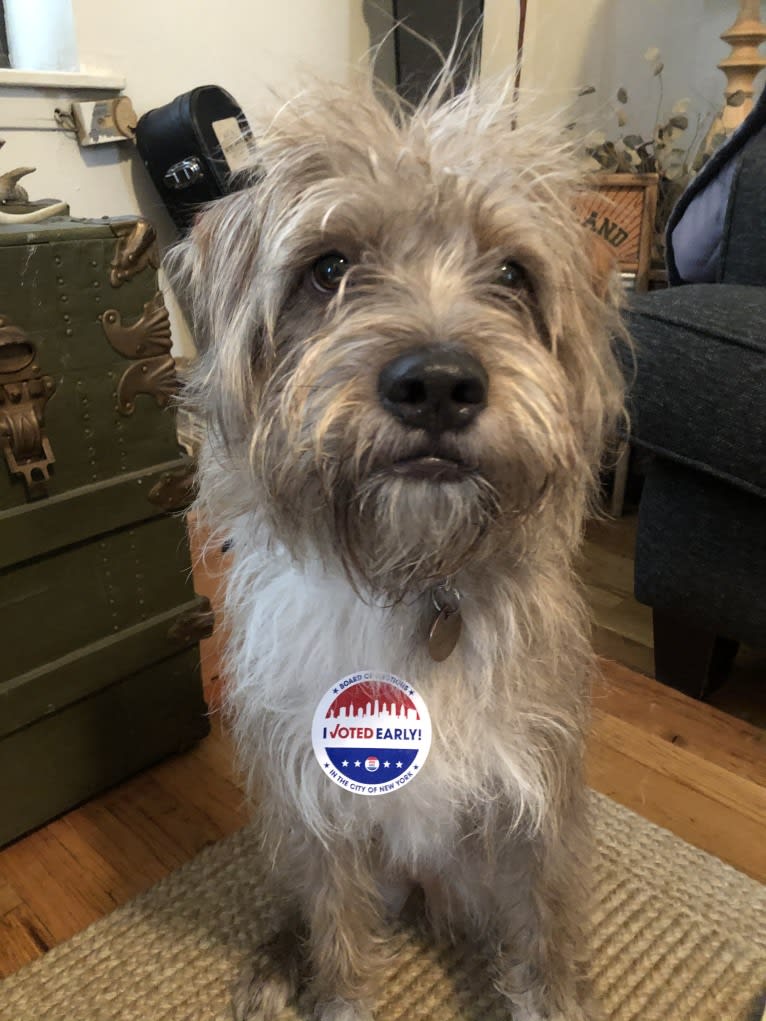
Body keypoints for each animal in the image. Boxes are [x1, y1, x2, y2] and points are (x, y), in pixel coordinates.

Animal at [173, 75, 629, 1021]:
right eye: (329, 267)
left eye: (512, 273)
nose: (439, 385)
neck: (415, 574)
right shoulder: (321, 813)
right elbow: (341, 945)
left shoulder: (535, 815)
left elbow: (544, 949)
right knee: (303, 910)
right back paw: (275, 965)